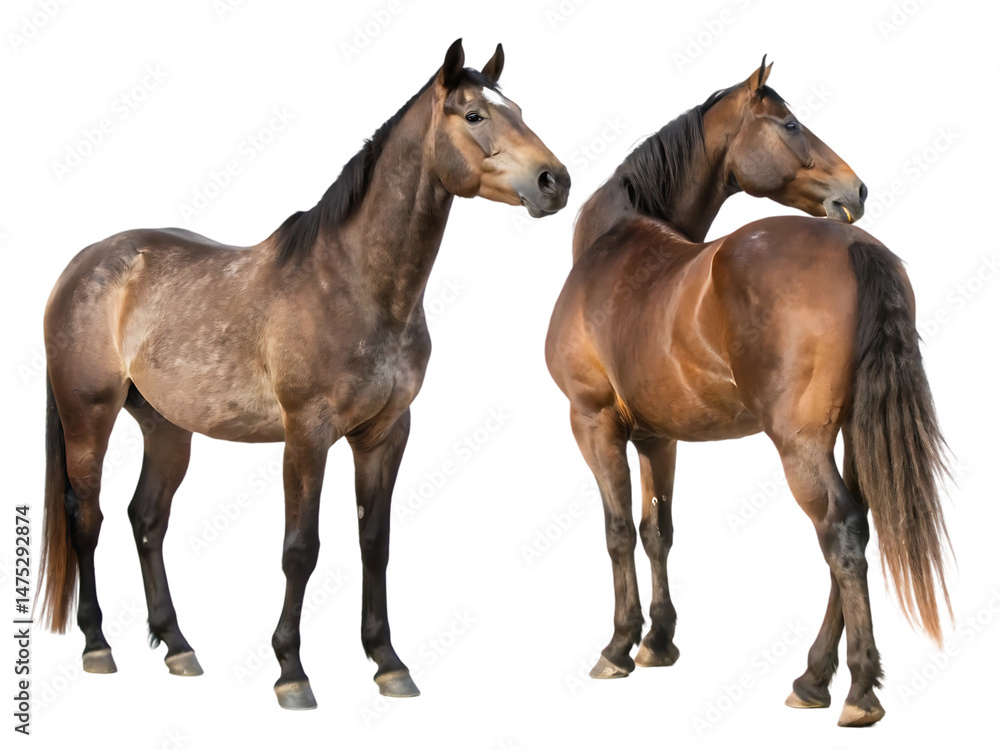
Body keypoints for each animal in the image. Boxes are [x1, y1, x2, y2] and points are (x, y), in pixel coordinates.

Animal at [38, 38, 570, 710]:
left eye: (518, 109)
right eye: (474, 115)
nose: (556, 182)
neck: (355, 284)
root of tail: (83, 264)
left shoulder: (386, 434)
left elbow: (375, 543)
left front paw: (388, 662)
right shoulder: (306, 434)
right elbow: (301, 549)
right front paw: (291, 672)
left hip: (166, 427)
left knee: (147, 519)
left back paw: (179, 646)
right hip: (89, 416)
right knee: (88, 517)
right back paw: (97, 646)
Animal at [544, 59, 949, 727]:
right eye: (788, 123)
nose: (857, 192)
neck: (612, 244)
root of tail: (856, 246)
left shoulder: (592, 421)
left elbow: (617, 531)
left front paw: (619, 645)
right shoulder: (657, 437)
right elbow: (657, 531)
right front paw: (659, 642)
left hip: (799, 444)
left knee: (839, 534)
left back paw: (858, 692)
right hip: (850, 433)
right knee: (856, 527)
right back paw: (813, 678)